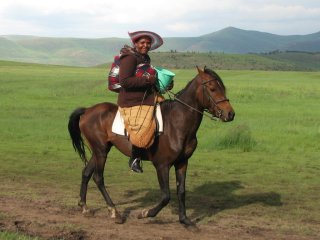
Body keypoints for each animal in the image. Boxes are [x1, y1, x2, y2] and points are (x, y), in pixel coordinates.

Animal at [69, 67, 235, 225]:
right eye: (212, 88)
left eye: (223, 88)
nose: (230, 114)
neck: (177, 123)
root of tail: (87, 110)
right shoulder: (162, 165)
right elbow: (166, 196)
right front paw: (146, 213)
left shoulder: (182, 162)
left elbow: (181, 191)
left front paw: (184, 219)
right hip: (101, 151)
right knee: (98, 178)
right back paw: (114, 212)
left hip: (99, 151)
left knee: (86, 173)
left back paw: (84, 207)